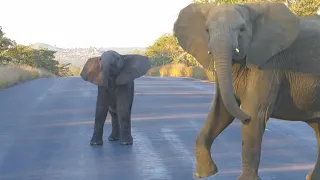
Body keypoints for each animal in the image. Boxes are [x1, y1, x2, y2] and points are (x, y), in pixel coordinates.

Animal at [174, 1, 320, 180]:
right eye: (207, 30)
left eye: (242, 29)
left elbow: (255, 114)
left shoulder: (269, 65)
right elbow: (221, 111)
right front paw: (204, 174)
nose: (244, 118)